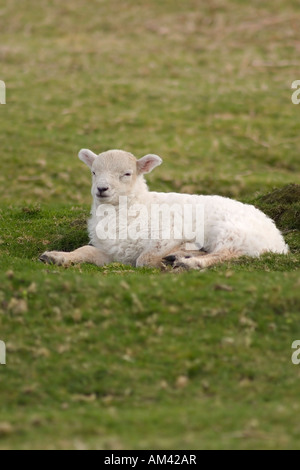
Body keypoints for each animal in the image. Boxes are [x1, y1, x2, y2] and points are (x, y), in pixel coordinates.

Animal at [39, 149, 288, 270]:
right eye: (93, 172)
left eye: (127, 173)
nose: (101, 189)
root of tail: (278, 240)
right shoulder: (114, 252)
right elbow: (85, 251)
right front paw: (56, 257)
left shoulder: (168, 234)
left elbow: (144, 259)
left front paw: (164, 262)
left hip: (232, 231)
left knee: (226, 255)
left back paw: (188, 262)